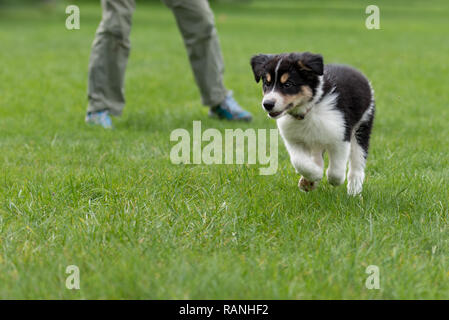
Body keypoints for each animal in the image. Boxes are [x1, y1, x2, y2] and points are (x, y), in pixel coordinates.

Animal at [250, 52, 372, 195]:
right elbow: (299, 162)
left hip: (362, 125)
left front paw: (333, 180)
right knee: (316, 156)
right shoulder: (293, 140)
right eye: (267, 83)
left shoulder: (340, 134)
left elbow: (336, 169)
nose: (267, 104)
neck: (308, 111)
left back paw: (354, 190)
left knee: (358, 161)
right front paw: (313, 177)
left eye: (288, 84)